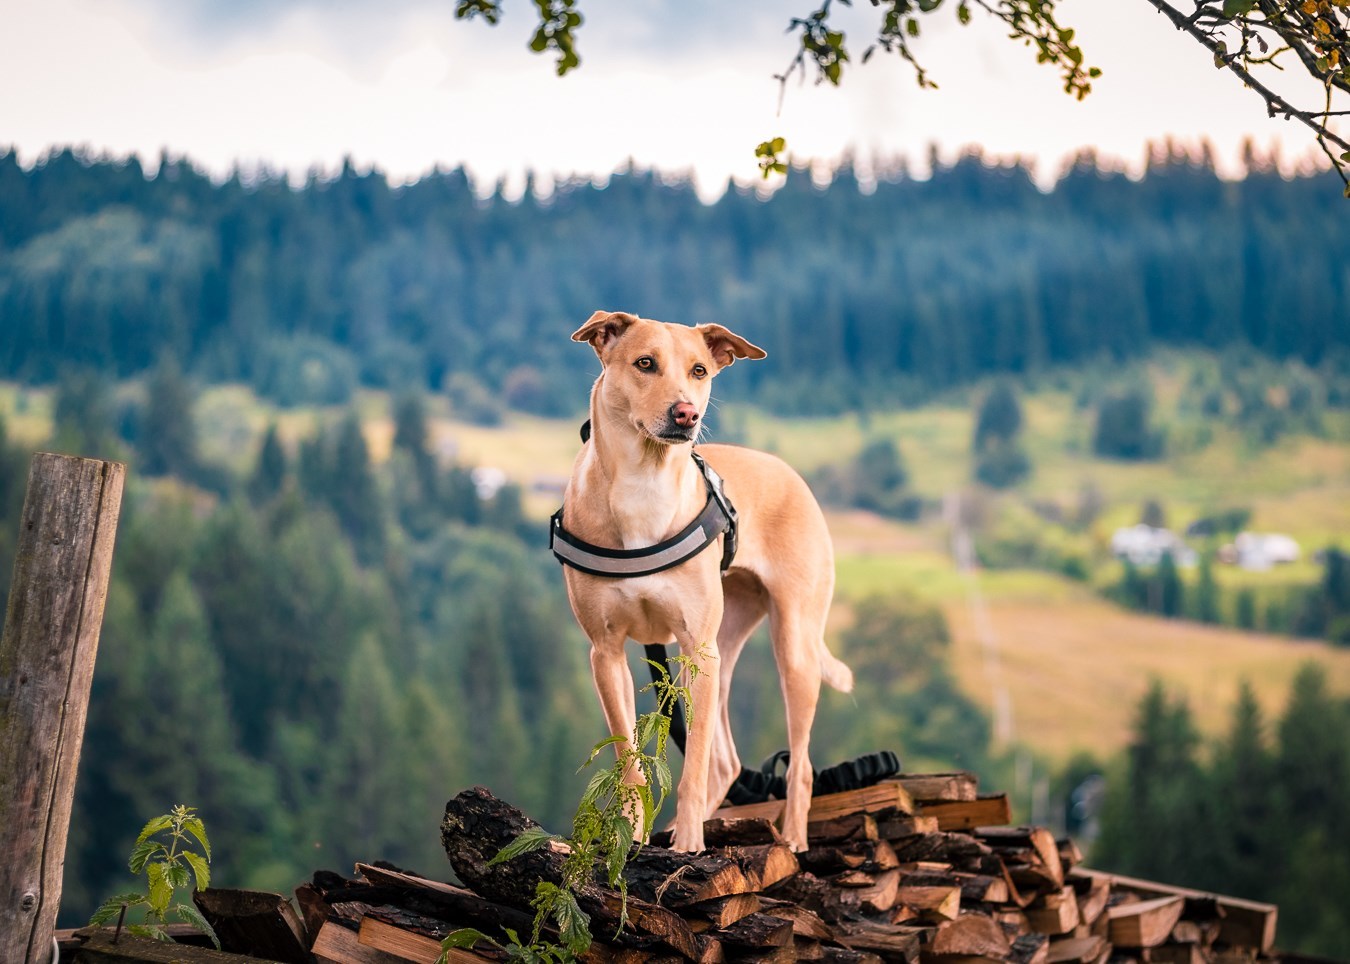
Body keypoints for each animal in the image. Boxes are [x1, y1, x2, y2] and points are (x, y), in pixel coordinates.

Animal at [550, 309, 847, 847]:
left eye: (699, 371)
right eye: (645, 363)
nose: (686, 413)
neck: (644, 487)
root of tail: (790, 474)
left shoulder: (696, 648)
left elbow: (692, 769)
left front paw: (689, 842)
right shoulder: (606, 653)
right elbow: (630, 761)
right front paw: (631, 835)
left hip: (787, 648)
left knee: (798, 765)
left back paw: (791, 835)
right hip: (720, 656)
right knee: (726, 762)